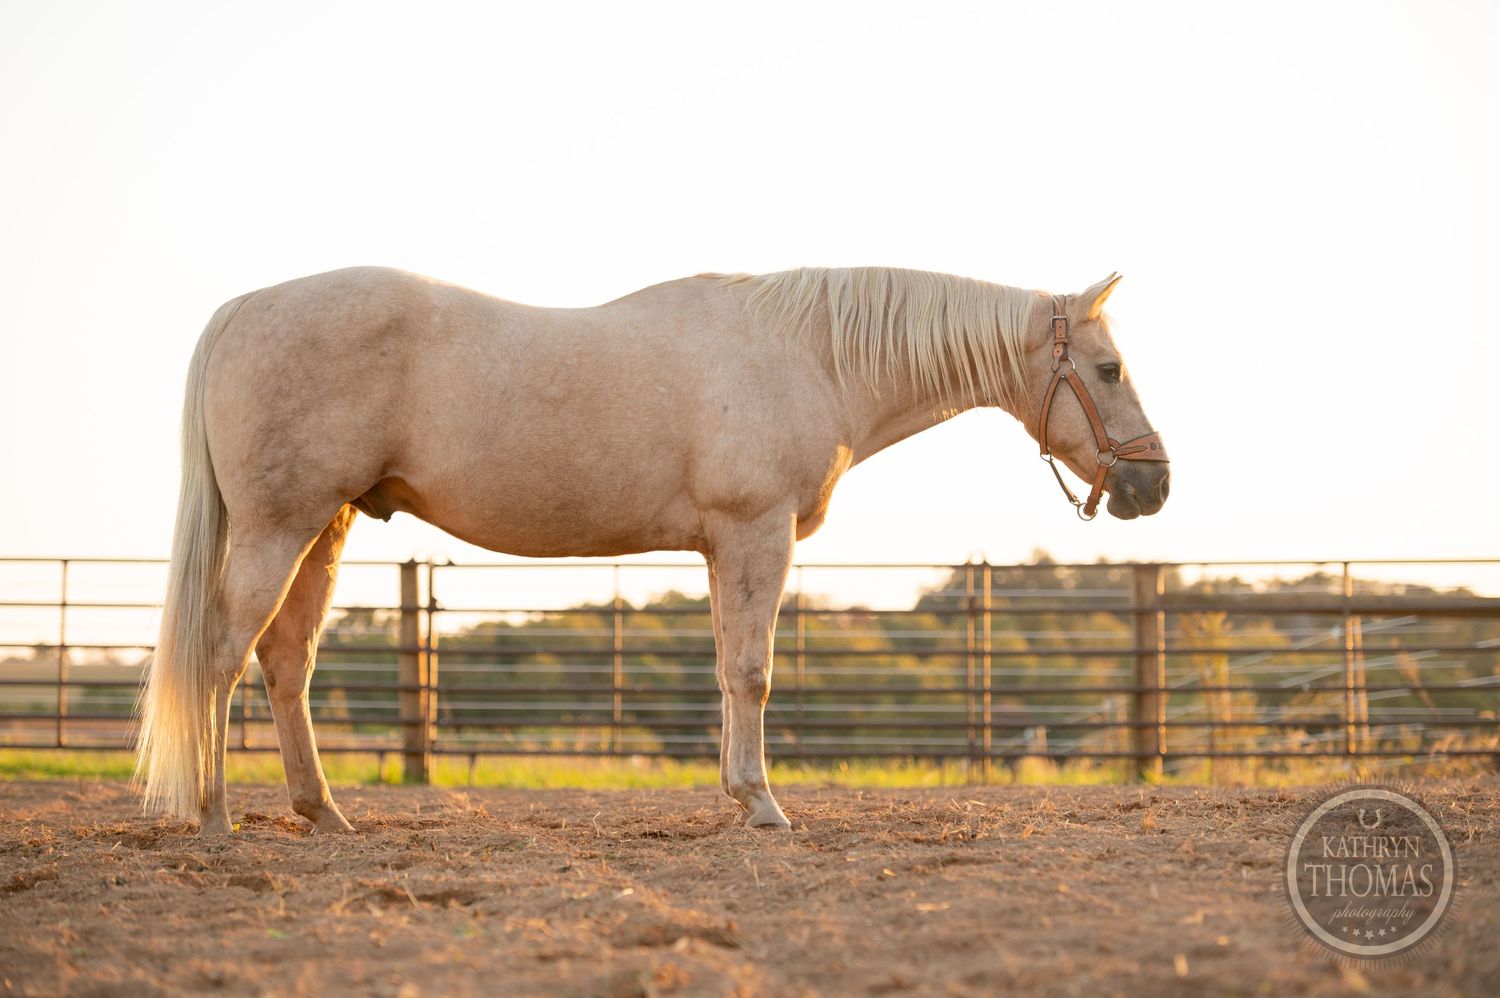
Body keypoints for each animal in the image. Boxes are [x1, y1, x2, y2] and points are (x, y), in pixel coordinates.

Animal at [135, 266, 1170, 834]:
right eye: (1110, 369)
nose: (1153, 485)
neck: (809, 354)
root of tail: (242, 309)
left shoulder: (721, 548)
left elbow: (725, 669)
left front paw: (736, 795)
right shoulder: (755, 533)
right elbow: (753, 672)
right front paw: (764, 805)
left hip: (327, 527)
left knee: (285, 664)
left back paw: (326, 814)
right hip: (280, 527)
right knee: (221, 658)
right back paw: (216, 816)